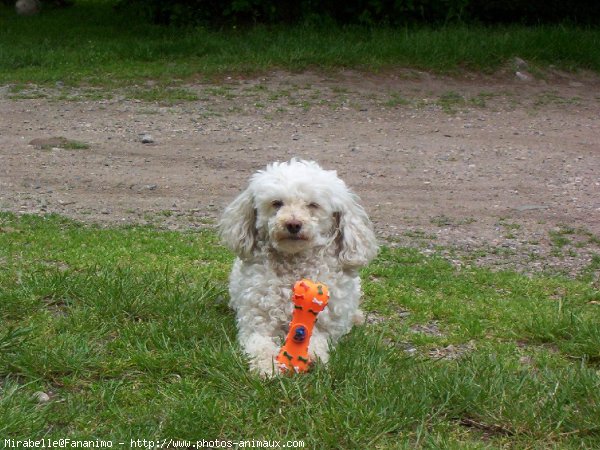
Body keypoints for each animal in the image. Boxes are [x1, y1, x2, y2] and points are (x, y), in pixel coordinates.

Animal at [220, 159, 378, 376]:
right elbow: (261, 345)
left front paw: (311, 357)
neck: (294, 264)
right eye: (277, 203)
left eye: (313, 205)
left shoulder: (326, 327)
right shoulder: (256, 323)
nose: (293, 224)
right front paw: (267, 367)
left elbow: (317, 339)